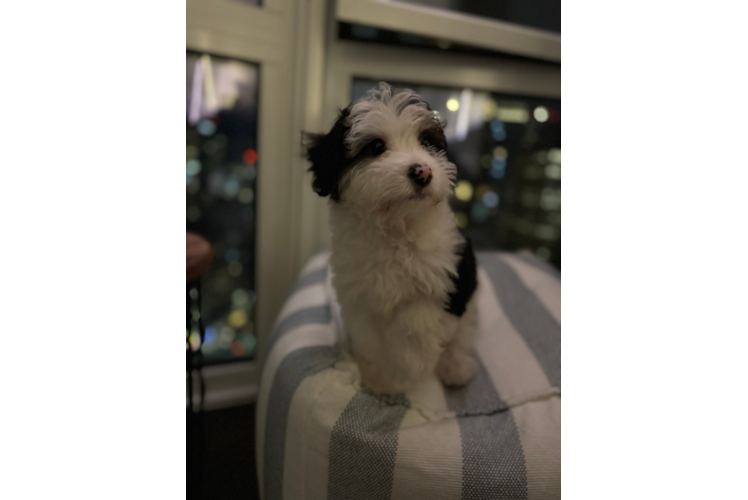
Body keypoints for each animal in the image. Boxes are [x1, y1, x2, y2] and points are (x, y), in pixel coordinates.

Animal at [300, 82, 476, 394]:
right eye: (376, 147)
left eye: (427, 143)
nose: (423, 171)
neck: (395, 228)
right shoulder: (359, 296)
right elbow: (371, 338)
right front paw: (379, 378)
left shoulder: (446, 280)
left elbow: (414, 325)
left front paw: (405, 371)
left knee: (462, 333)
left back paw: (455, 367)